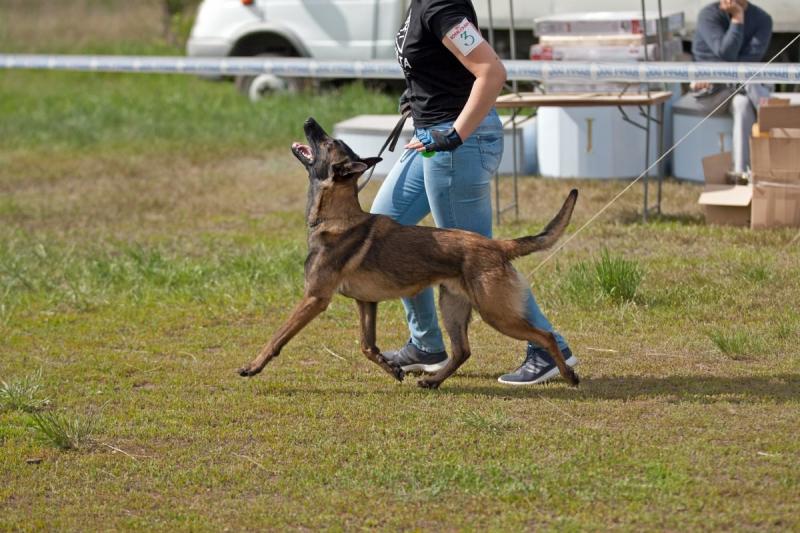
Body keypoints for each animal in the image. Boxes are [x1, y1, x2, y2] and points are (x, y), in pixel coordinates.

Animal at [238, 118, 580, 388]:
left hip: (497, 313)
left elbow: (277, 337)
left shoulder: (314, 299)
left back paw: (568, 375)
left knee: (545, 335)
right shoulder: (366, 302)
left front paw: (253, 366)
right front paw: (392, 369)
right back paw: (433, 380)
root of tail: (496, 245)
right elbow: (367, 346)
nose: (309, 120)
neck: (336, 218)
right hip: (453, 306)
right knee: (462, 351)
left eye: (328, 142)